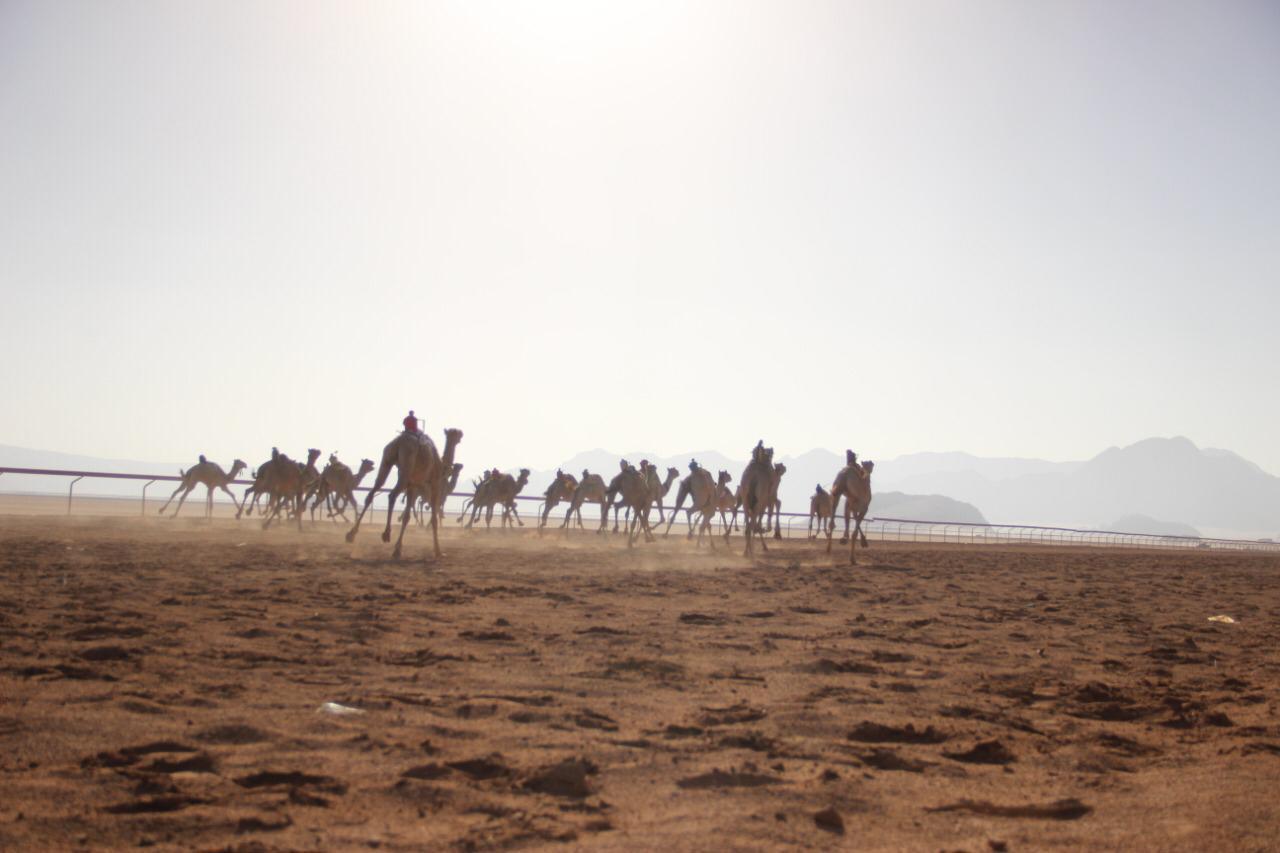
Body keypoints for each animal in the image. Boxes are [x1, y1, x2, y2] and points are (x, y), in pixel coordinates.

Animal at [348, 425, 463, 558]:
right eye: (456, 434)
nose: (460, 436)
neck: (442, 466)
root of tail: (399, 441)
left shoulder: (412, 485)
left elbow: (407, 517)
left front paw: (398, 549)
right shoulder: (435, 485)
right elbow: (434, 518)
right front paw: (438, 551)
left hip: (387, 460)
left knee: (372, 492)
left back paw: (351, 534)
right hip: (406, 467)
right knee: (392, 495)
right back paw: (386, 533)